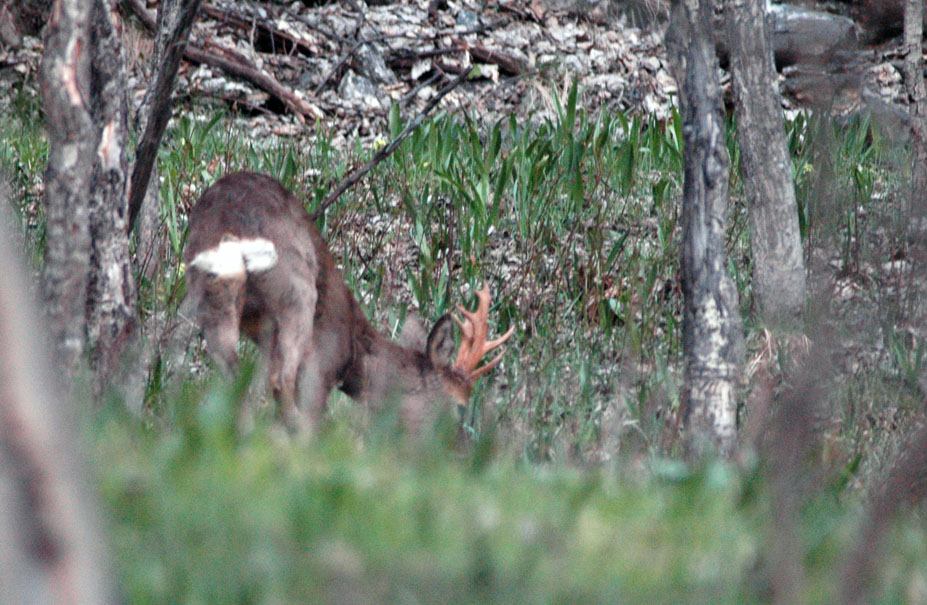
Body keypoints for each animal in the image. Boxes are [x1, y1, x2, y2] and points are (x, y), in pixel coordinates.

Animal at [183, 171, 516, 430]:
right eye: (460, 405)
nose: (460, 450)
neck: (357, 356)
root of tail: (232, 224)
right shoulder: (322, 362)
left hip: (212, 295)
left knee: (233, 380)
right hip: (296, 294)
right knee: (280, 382)